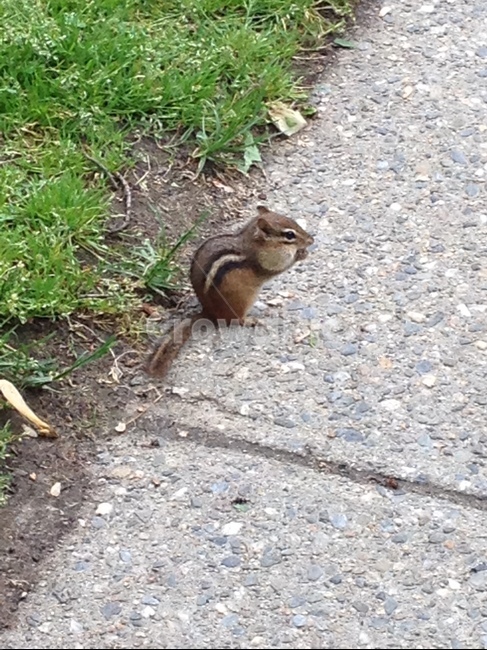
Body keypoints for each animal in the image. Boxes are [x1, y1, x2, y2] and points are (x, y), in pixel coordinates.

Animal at [144, 205, 314, 378]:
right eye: (289, 235)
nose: (311, 240)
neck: (253, 241)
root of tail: (209, 312)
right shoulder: (269, 261)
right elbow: (279, 268)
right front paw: (301, 254)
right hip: (243, 300)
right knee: (236, 320)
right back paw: (252, 320)